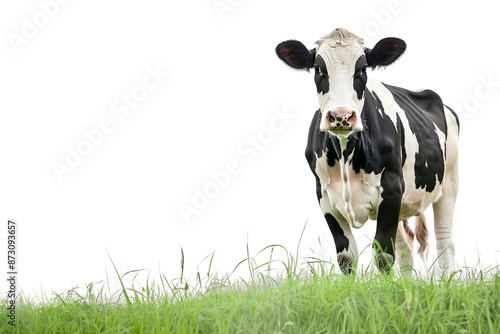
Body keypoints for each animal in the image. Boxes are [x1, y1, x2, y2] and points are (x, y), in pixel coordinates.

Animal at [276, 28, 458, 274]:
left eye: (362, 69)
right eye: (318, 69)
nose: (341, 116)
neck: (346, 154)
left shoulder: (391, 189)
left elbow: (383, 254)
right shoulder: (324, 195)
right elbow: (346, 257)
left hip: (449, 183)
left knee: (444, 243)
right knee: (406, 246)